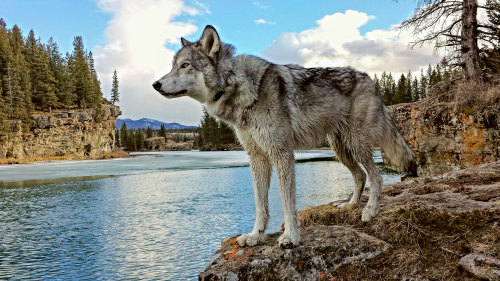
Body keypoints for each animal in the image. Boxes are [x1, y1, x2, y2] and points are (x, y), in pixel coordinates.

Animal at [153, 24, 418, 247]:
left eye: (185, 65)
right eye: (174, 65)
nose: (155, 84)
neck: (238, 85)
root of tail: (371, 80)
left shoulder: (281, 154)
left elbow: (287, 203)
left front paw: (290, 237)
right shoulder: (257, 158)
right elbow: (260, 205)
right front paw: (255, 236)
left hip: (356, 145)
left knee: (377, 177)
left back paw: (369, 211)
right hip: (341, 150)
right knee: (361, 176)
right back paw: (349, 205)